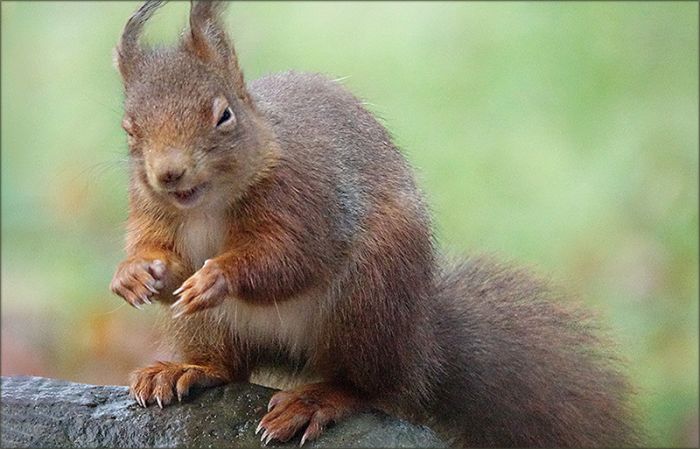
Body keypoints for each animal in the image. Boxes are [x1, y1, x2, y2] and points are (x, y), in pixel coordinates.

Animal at [109, 1, 641, 447]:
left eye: (223, 115)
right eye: (129, 129)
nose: (169, 173)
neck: (208, 204)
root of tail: (423, 350)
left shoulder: (310, 199)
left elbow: (290, 258)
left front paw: (217, 276)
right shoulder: (149, 211)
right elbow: (155, 251)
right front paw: (134, 274)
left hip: (369, 298)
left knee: (370, 386)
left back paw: (316, 400)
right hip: (212, 326)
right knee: (228, 364)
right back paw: (185, 369)